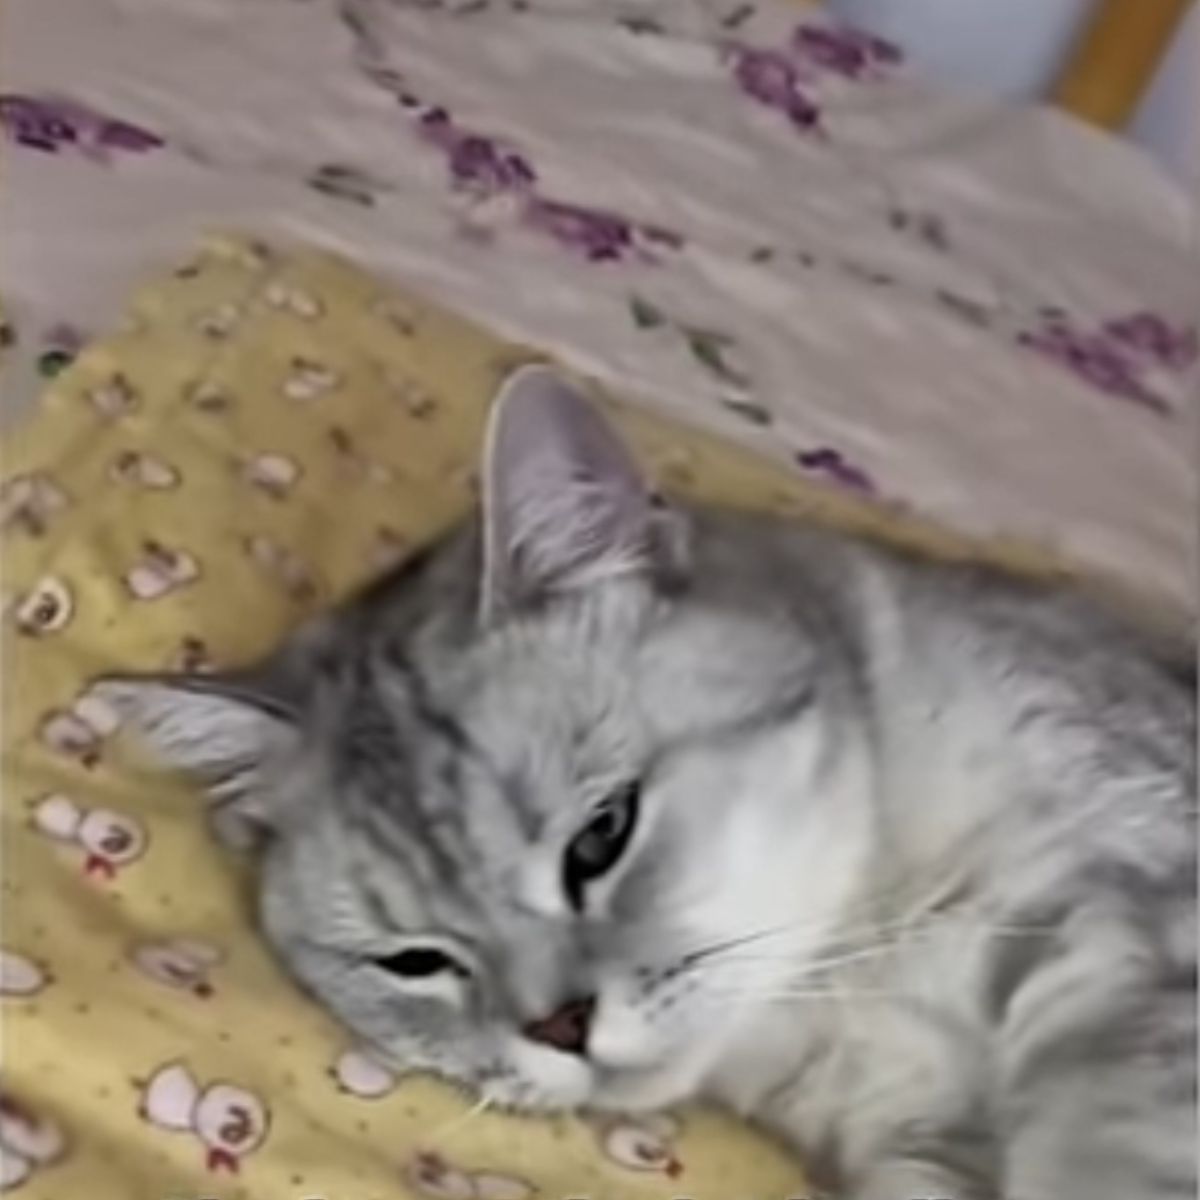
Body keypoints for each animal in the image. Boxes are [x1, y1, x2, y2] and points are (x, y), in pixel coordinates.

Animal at [103, 364, 1190, 1200]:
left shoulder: (1126, 914)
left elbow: (1109, 1141)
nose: (561, 1027)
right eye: (414, 961)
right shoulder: (911, 1138)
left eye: (602, 836)